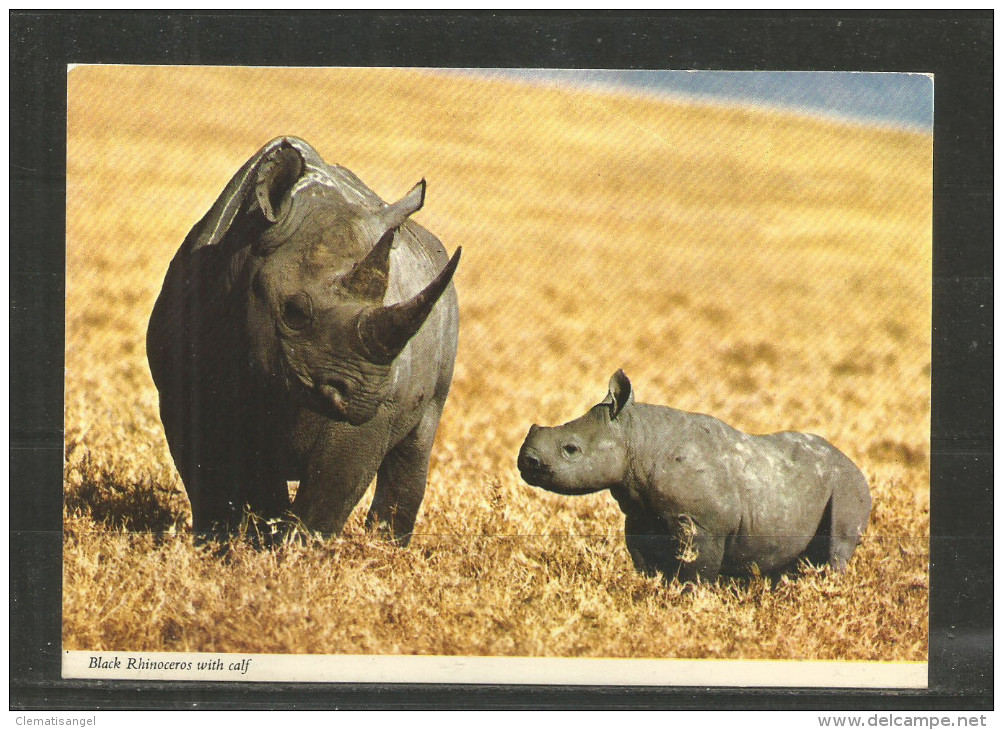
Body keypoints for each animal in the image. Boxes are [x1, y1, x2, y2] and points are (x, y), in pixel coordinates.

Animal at [146, 136, 459, 541]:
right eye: (294, 313)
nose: (365, 395)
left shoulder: (369, 416)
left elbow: (330, 490)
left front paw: (296, 549)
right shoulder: (179, 387)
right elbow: (210, 474)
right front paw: (216, 542)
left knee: (417, 441)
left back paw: (384, 546)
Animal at [517, 371, 870, 581]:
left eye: (571, 449)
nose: (525, 462)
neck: (637, 437)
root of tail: (856, 465)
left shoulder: (704, 523)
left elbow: (697, 571)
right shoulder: (641, 515)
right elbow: (646, 561)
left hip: (847, 486)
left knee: (837, 547)